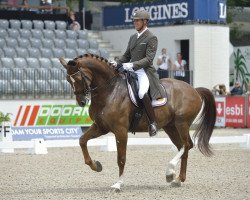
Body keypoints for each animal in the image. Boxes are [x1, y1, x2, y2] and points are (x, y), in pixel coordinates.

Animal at [59, 54, 216, 191]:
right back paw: (177, 179)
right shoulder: (101, 127)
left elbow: (121, 158)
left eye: (79, 78)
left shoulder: (120, 130)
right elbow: (82, 140)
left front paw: (118, 184)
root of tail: (194, 89)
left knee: (186, 145)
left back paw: (170, 172)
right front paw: (96, 166)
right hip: (170, 126)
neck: (110, 91)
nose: (81, 102)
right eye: (68, 79)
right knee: (183, 147)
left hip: (181, 123)